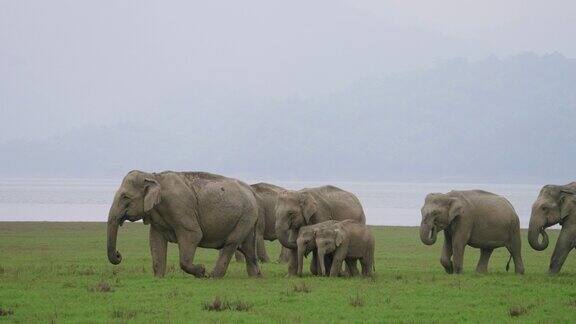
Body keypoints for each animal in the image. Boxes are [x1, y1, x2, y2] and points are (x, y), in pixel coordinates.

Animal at [106, 170, 260, 278]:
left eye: (125, 197)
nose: (119, 255)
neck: (153, 176)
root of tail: (252, 192)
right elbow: (155, 240)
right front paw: (158, 277)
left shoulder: (179, 205)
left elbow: (193, 234)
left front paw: (201, 271)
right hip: (247, 218)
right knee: (247, 248)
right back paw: (256, 276)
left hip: (245, 216)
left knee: (231, 244)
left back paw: (212, 276)